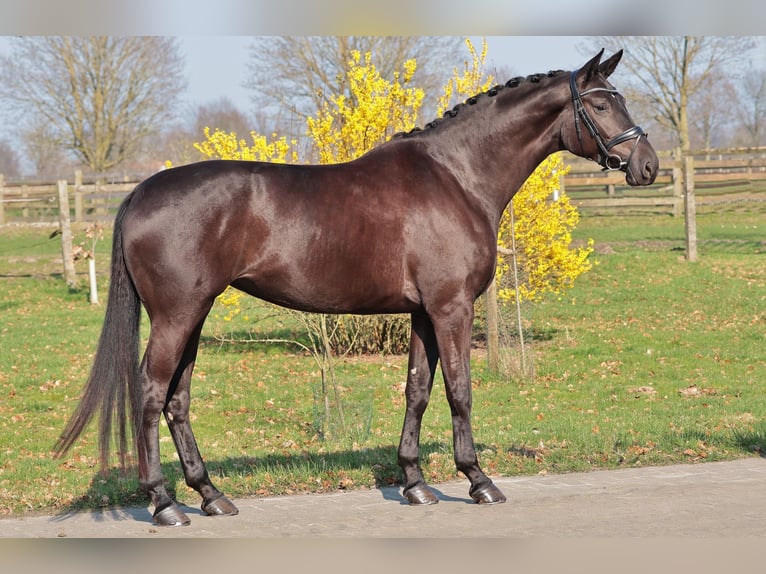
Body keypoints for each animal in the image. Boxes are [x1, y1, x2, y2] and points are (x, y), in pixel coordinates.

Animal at [54, 49, 660, 528]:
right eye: (601, 104)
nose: (648, 166)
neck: (456, 176)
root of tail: (139, 193)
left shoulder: (423, 313)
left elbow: (418, 389)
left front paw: (414, 483)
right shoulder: (452, 308)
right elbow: (459, 391)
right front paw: (478, 480)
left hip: (195, 315)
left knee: (177, 399)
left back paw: (210, 496)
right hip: (178, 315)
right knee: (152, 394)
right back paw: (164, 505)